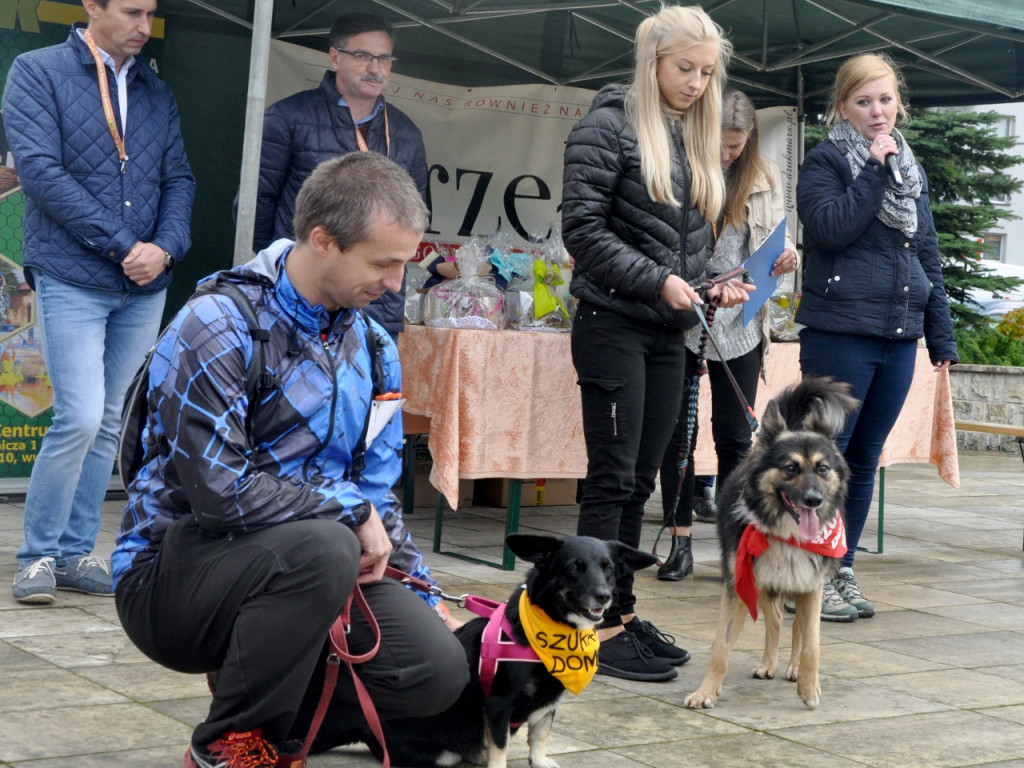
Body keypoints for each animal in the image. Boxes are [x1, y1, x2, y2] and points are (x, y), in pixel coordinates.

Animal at [688, 376, 856, 712]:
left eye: (822, 468)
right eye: (790, 468)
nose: (814, 500)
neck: (785, 532)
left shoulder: (811, 586)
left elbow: (812, 644)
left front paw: (809, 688)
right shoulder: (742, 583)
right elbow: (721, 648)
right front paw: (705, 692)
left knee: (796, 627)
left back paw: (793, 669)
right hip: (765, 584)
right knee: (776, 620)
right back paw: (769, 664)